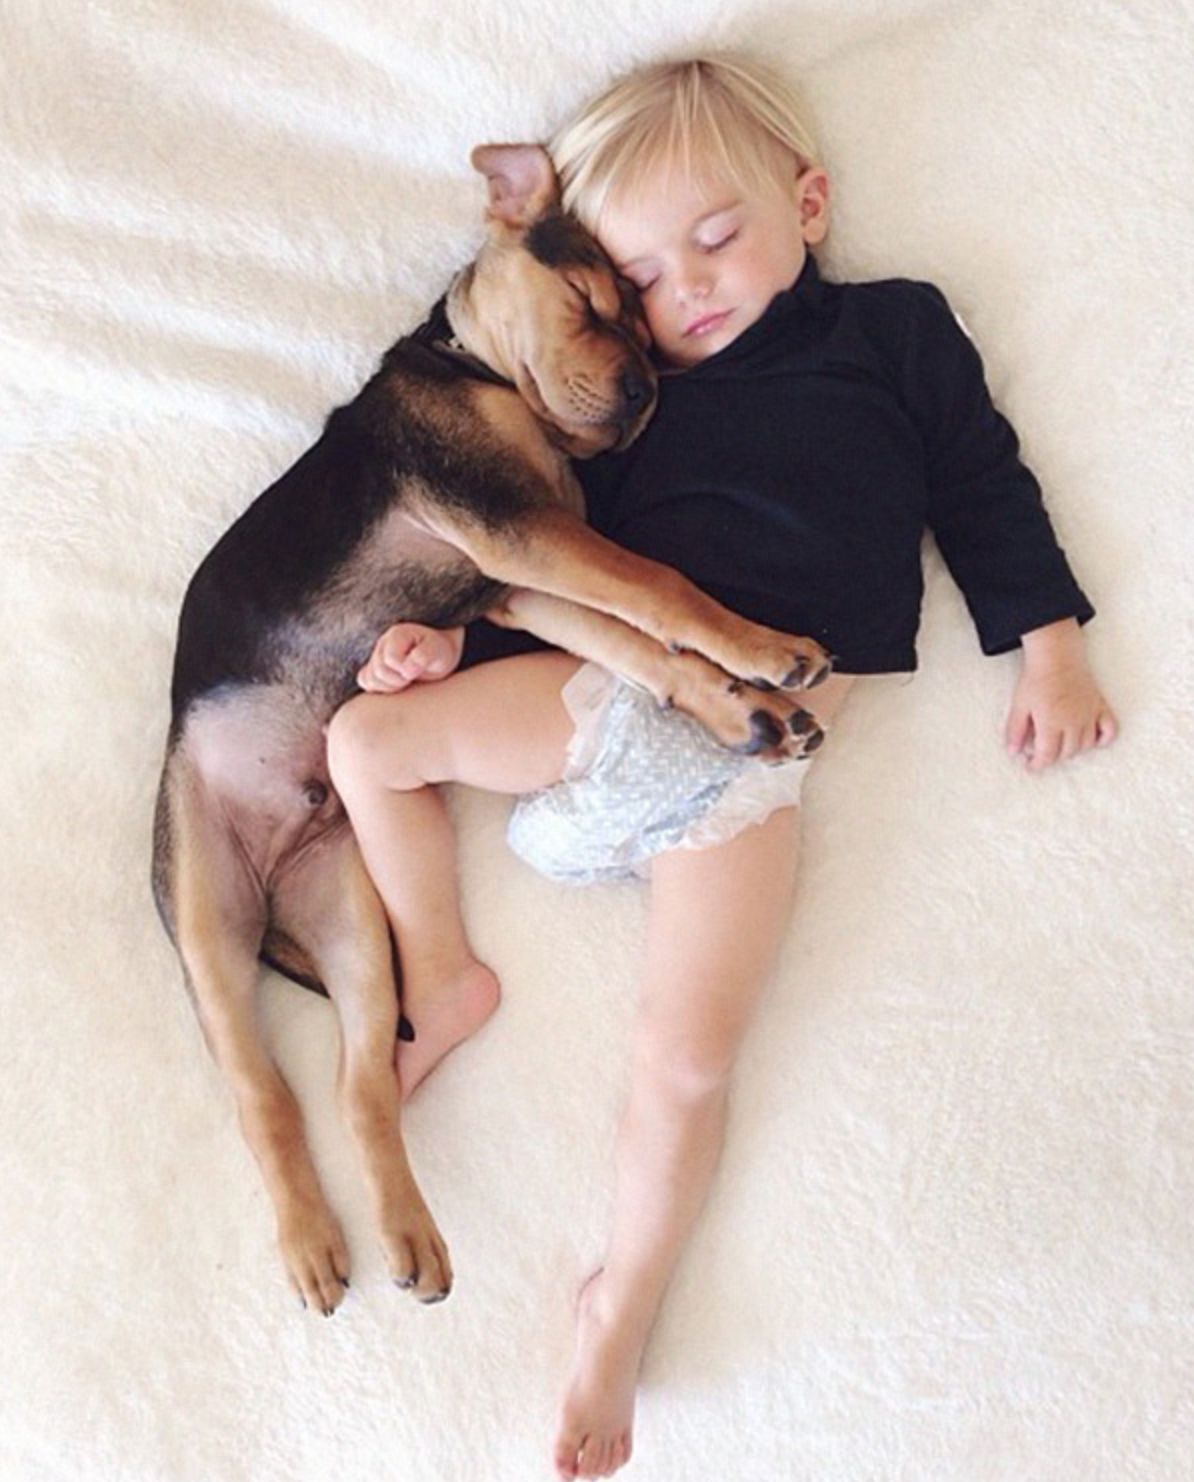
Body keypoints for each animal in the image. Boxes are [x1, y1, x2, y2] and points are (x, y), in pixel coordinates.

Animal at [152, 142, 831, 1317]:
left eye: (649, 323)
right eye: (590, 300)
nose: (647, 390)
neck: (477, 368)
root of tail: (273, 872)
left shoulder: (517, 584)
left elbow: (647, 643)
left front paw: (743, 705)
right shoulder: (516, 530)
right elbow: (664, 588)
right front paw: (766, 651)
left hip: (350, 918)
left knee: (360, 1081)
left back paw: (409, 1234)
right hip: (205, 912)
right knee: (261, 1091)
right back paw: (313, 1245)